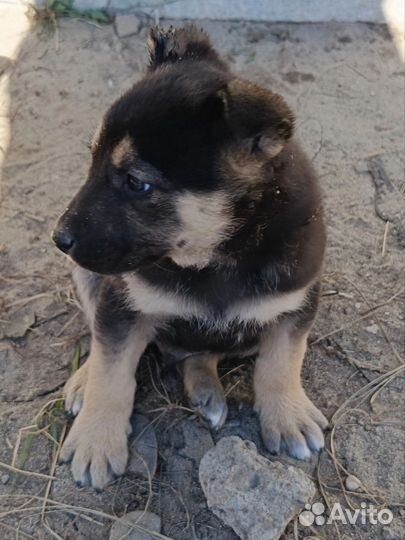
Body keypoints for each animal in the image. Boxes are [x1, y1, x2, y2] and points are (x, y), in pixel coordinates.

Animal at [52, 25, 326, 490]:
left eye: (136, 183)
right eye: (92, 161)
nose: (59, 238)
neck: (214, 256)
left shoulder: (294, 304)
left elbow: (282, 361)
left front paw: (288, 415)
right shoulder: (122, 303)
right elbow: (111, 371)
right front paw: (96, 439)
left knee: (201, 354)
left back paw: (205, 391)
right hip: (90, 277)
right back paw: (84, 381)